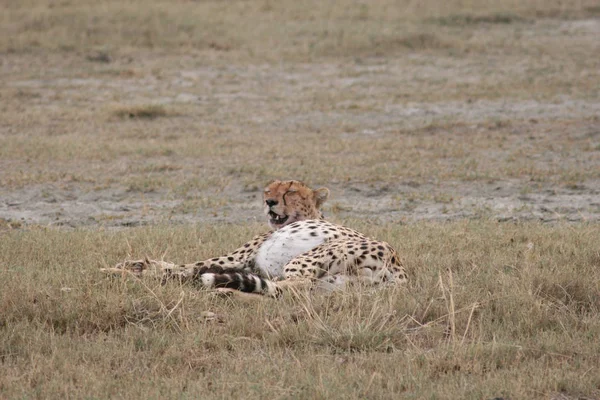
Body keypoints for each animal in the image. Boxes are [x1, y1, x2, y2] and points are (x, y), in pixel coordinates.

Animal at [105, 181, 410, 296]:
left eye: (290, 191)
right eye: (269, 189)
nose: (269, 201)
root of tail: (397, 264)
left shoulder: (235, 258)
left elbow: (182, 266)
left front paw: (123, 270)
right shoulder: (244, 262)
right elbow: (179, 267)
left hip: (306, 260)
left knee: (290, 287)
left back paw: (227, 289)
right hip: (337, 284)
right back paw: (230, 289)